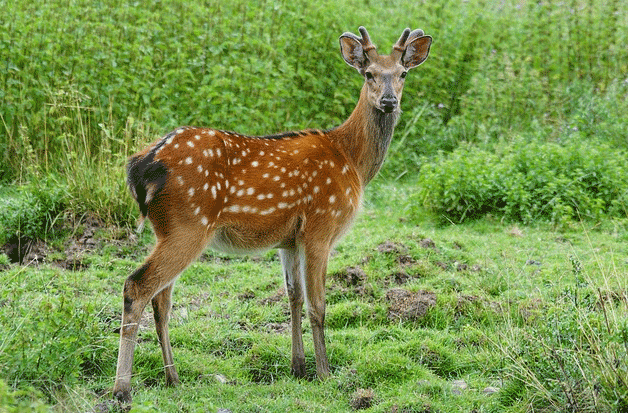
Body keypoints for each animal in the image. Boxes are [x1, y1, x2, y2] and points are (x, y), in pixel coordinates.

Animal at [114, 26, 432, 402]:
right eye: (368, 73)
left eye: (402, 74)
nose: (389, 101)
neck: (351, 160)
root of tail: (141, 165)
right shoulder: (321, 225)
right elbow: (318, 305)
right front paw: (324, 373)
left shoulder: (289, 240)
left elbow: (293, 297)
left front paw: (298, 368)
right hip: (189, 223)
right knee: (138, 285)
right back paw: (122, 389)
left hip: (166, 228)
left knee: (161, 298)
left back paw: (173, 378)